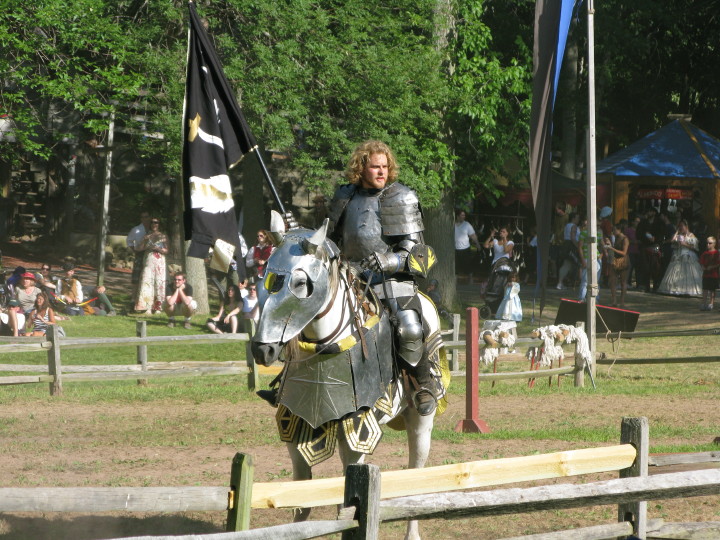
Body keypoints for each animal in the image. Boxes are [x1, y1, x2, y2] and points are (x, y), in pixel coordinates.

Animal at [250, 213, 448, 536]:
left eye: (301, 282)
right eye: (265, 278)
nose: (262, 350)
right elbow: (300, 502)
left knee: (415, 475)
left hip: (421, 421)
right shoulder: (294, 428)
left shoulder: (357, 434)